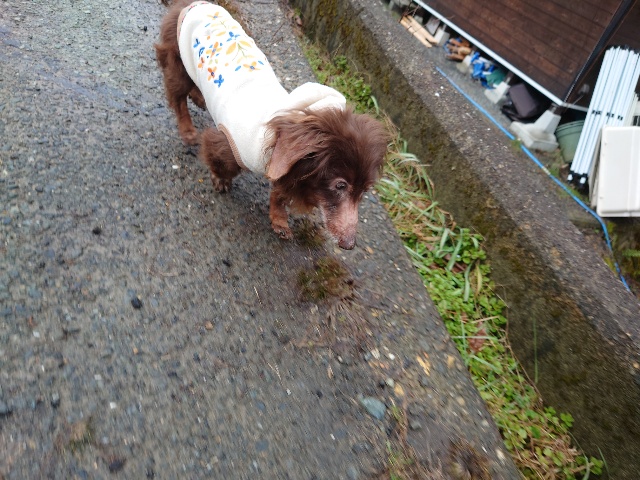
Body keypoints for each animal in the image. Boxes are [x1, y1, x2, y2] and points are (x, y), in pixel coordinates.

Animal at [155, 0, 389, 249]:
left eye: (365, 191)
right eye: (340, 186)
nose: (349, 244)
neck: (274, 136)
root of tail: (192, 4)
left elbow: (280, 195)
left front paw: (279, 221)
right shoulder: (228, 143)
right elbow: (221, 162)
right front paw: (220, 180)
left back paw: (200, 97)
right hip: (178, 57)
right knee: (178, 97)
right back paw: (188, 130)